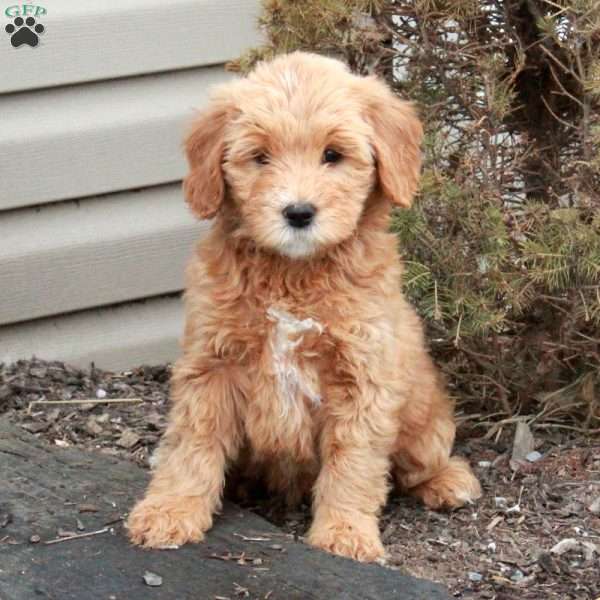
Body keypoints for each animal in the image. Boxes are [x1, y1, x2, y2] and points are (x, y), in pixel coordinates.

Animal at [127, 51, 482, 564]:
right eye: (260, 157)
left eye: (333, 154)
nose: (298, 213)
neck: (292, 276)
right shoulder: (211, 365)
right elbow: (193, 445)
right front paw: (171, 510)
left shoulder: (363, 376)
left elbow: (353, 463)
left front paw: (345, 532)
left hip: (421, 420)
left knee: (423, 460)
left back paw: (449, 482)